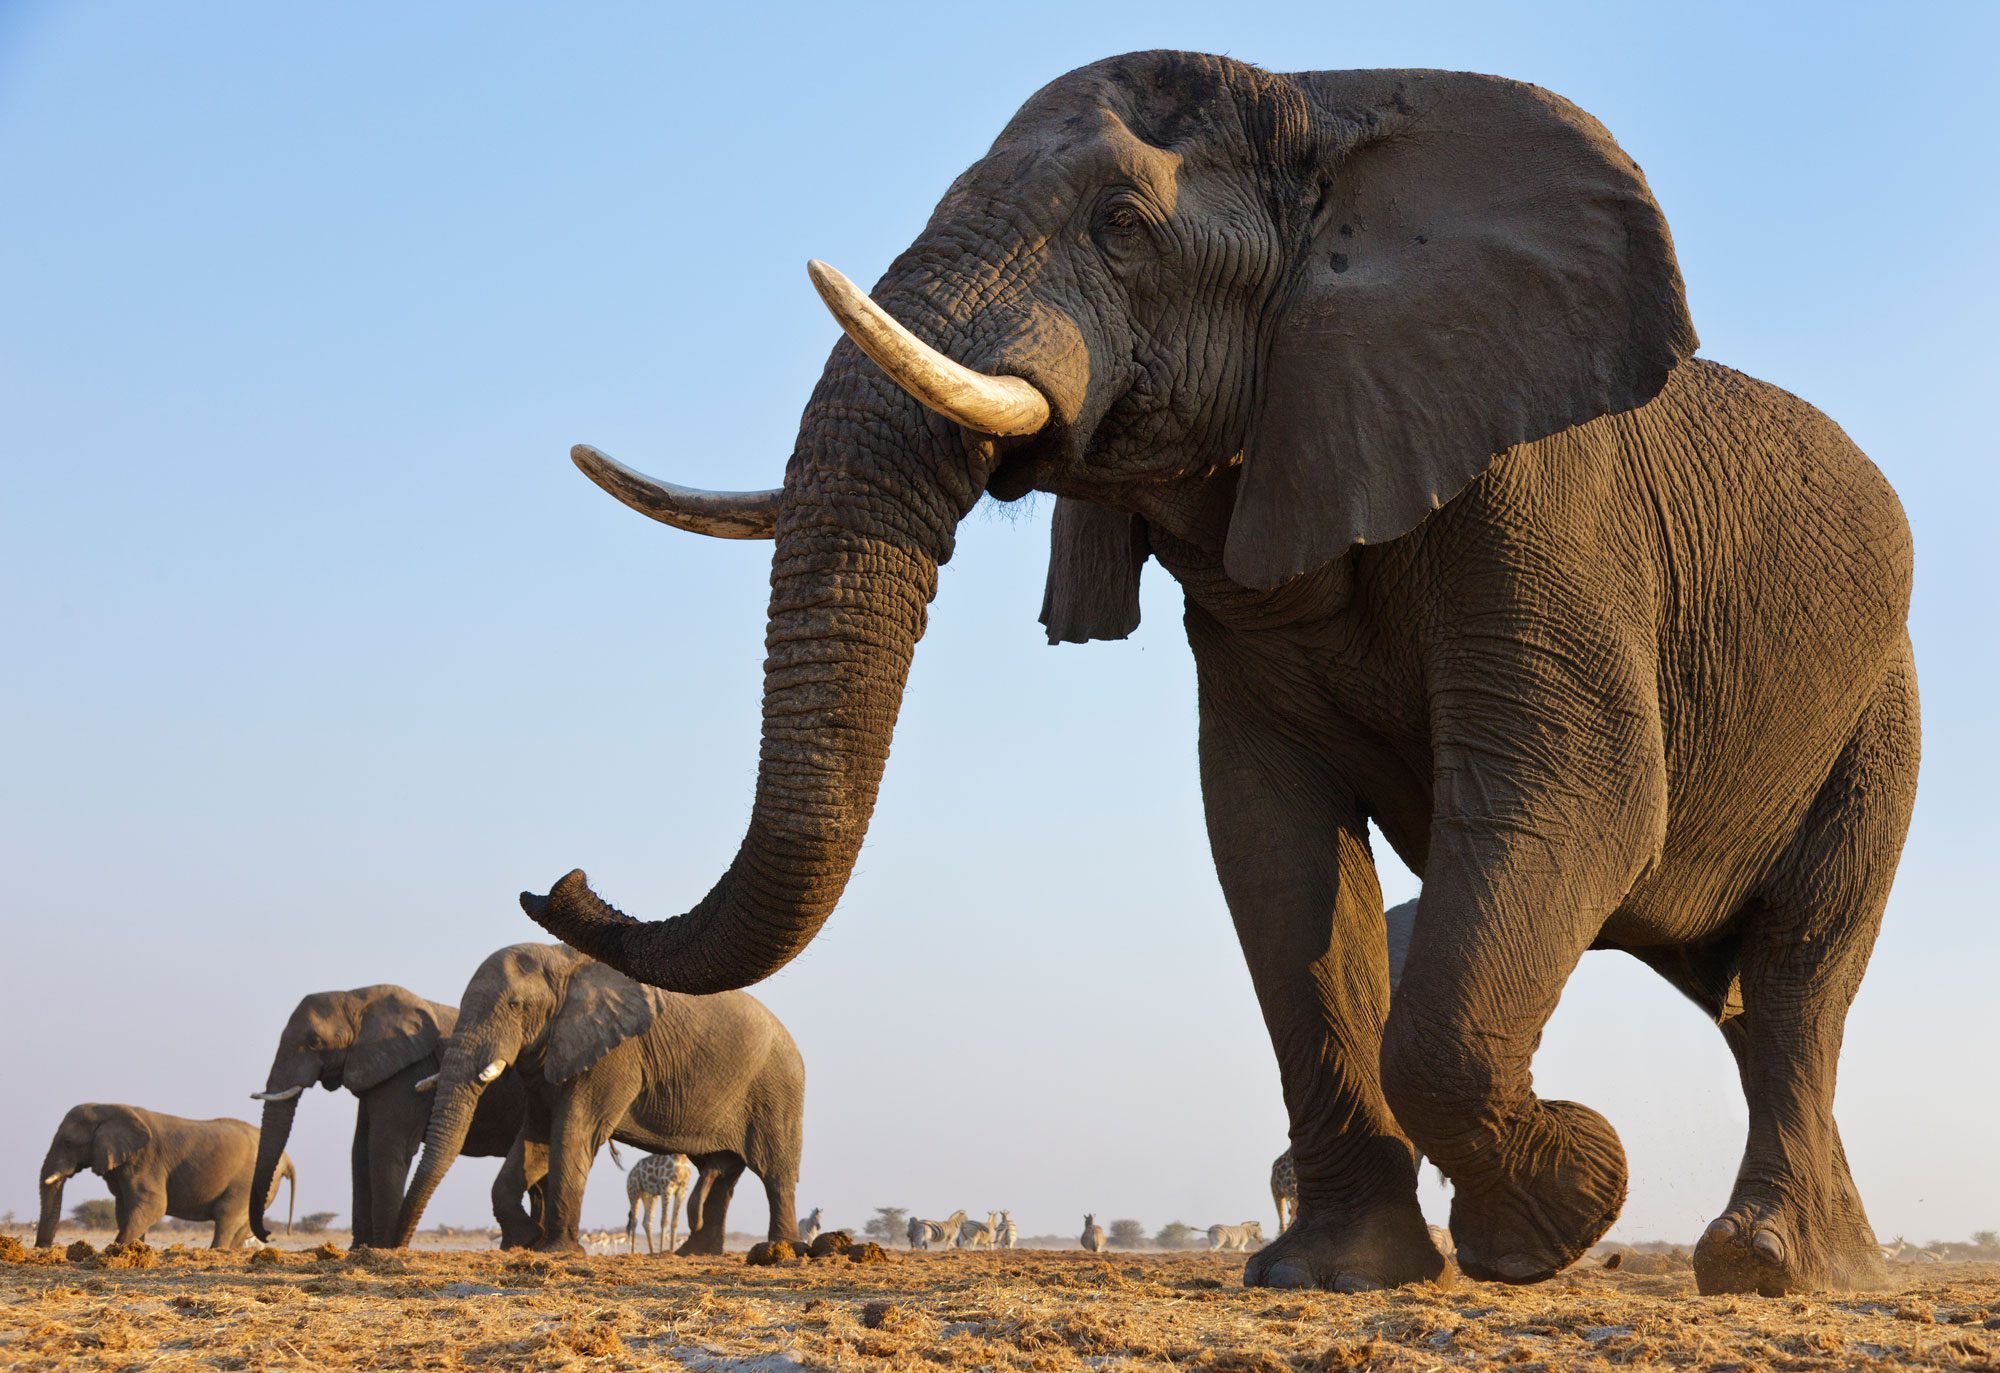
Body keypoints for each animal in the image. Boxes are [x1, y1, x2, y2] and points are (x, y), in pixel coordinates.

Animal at [37, 1104, 292, 1256]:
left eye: (68, 1143)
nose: (43, 1250)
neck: (108, 1108)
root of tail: (288, 1160)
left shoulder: (145, 1160)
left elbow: (153, 1206)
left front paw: (116, 1251)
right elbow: (124, 1208)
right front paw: (136, 1250)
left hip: (248, 1180)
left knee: (226, 1215)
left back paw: (215, 1253)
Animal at [248, 984, 532, 1256]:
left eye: (314, 1042)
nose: (269, 1234)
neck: (357, 998)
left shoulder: (408, 1070)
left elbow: (385, 1148)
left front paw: (382, 1248)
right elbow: (360, 1152)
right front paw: (359, 1250)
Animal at [390, 944, 804, 1256]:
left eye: (515, 1005)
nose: (395, 1247)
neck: (562, 960)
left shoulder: (615, 1054)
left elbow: (572, 1132)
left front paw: (555, 1251)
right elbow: (535, 1140)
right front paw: (523, 1242)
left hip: (777, 1090)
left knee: (775, 1173)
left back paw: (778, 1253)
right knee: (720, 1174)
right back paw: (696, 1253)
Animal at [520, 53, 1920, 1304]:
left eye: (1122, 227)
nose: (562, 882)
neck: (1322, 108)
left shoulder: (1540, 506)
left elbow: (1577, 798)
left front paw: (1557, 1207)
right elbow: (1272, 846)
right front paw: (1330, 1273)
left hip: (1881, 713)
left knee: (1793, 978)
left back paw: (1765, 1265)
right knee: (1745, 1002)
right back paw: (1830, 1262)